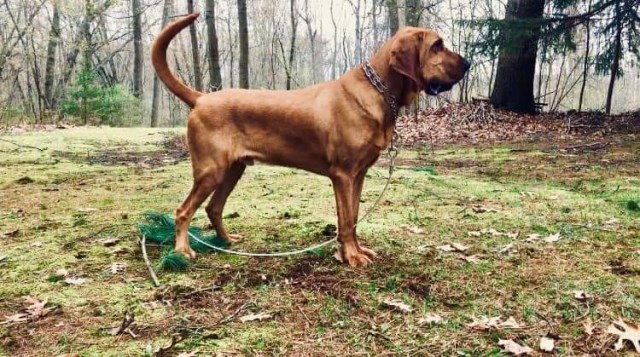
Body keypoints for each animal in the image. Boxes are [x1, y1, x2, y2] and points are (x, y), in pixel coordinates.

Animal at [152, 12, 468, 266]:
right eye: (437, 45)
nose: (467, 64)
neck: (377, 90)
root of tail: (201, 98)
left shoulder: (358, 175)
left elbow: (353, 217)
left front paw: (355, 251)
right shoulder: (342, 175)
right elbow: (346, 221)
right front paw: (351, 257)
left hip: (233, 170)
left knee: (213, 208)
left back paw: (228, 241)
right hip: (211, 171)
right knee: (182, 211)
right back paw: (182, 251)